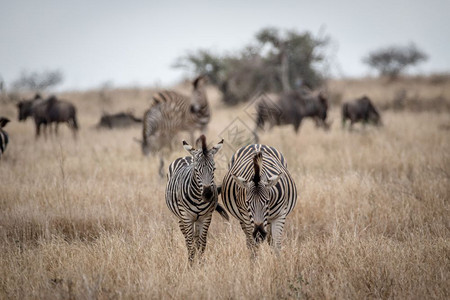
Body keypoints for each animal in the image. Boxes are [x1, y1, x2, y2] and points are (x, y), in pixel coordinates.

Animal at [165, 135, 229, 264]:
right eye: (196, 170)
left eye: (214, 169)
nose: (208, 195)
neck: (199, 200)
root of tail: (186, 156)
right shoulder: (186, 217)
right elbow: (190, 243)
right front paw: (191, 264)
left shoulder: (206, 217)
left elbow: (202, 242)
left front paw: (200, 263)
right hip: (181, 218)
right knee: (187, 239)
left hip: (197, 220)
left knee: (196, 239)